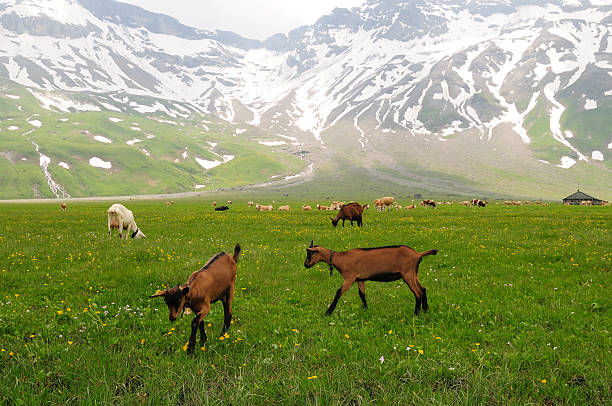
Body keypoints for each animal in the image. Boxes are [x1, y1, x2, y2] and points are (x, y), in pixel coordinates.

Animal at [304, 239, 438, 316]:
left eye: (310, 254)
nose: (306, 265)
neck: (341, 259)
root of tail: (417, 254)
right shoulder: (360, 279)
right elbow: (362, 294)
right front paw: (365, 309)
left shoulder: (349, 278)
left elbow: (338, 293)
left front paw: (328, 312)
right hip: (414, 274)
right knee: (423, 289)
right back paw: (426, 311)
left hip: (408, 275)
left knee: (417, 293)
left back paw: (416, 313)